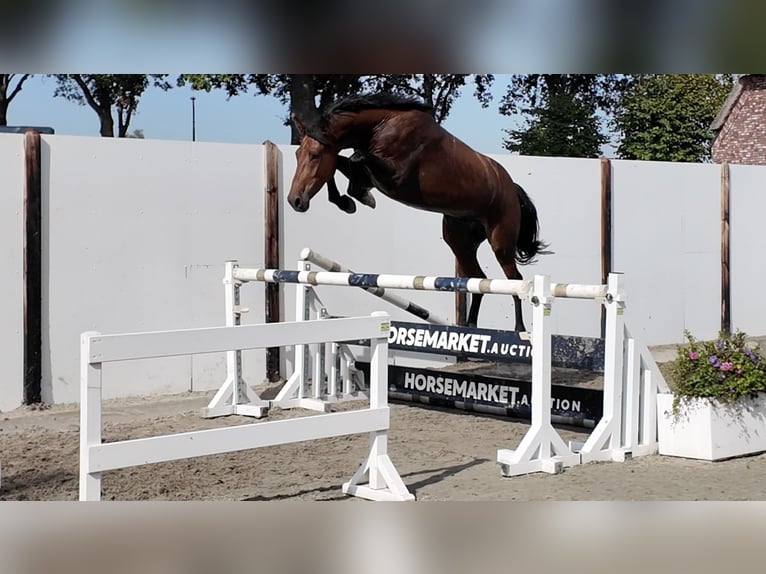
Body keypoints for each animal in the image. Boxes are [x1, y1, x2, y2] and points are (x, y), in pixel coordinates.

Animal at [287, 93, 550, 332]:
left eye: (315, 155)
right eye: (297, 155)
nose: (295, 200)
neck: (382, 125)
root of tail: (511, 187)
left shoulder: (395, 177)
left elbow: (353, 159)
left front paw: (358, 196)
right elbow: (341, 165)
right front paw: (347, 200)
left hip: (500, 241)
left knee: (514, 280)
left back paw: (519, 329)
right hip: (460, 241)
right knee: (479, 279)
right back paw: (470, 326)